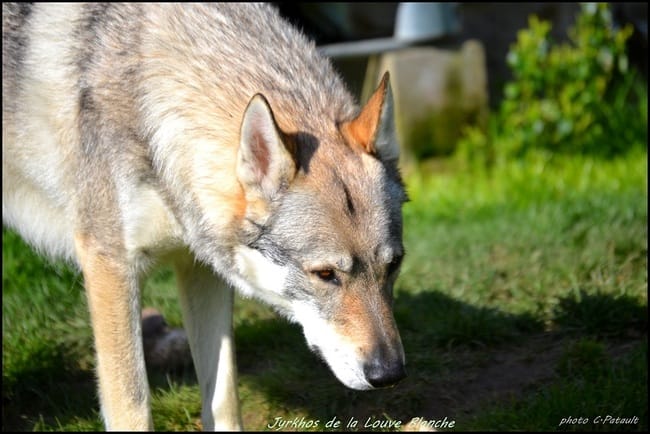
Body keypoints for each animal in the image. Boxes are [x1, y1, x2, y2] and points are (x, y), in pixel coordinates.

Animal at [2, 3, 407, 431]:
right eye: (325, 274)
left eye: (394, 264)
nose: (390, 374)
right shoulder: (110, 266)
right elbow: (132, 404)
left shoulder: (201, 269)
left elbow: (224, 397)